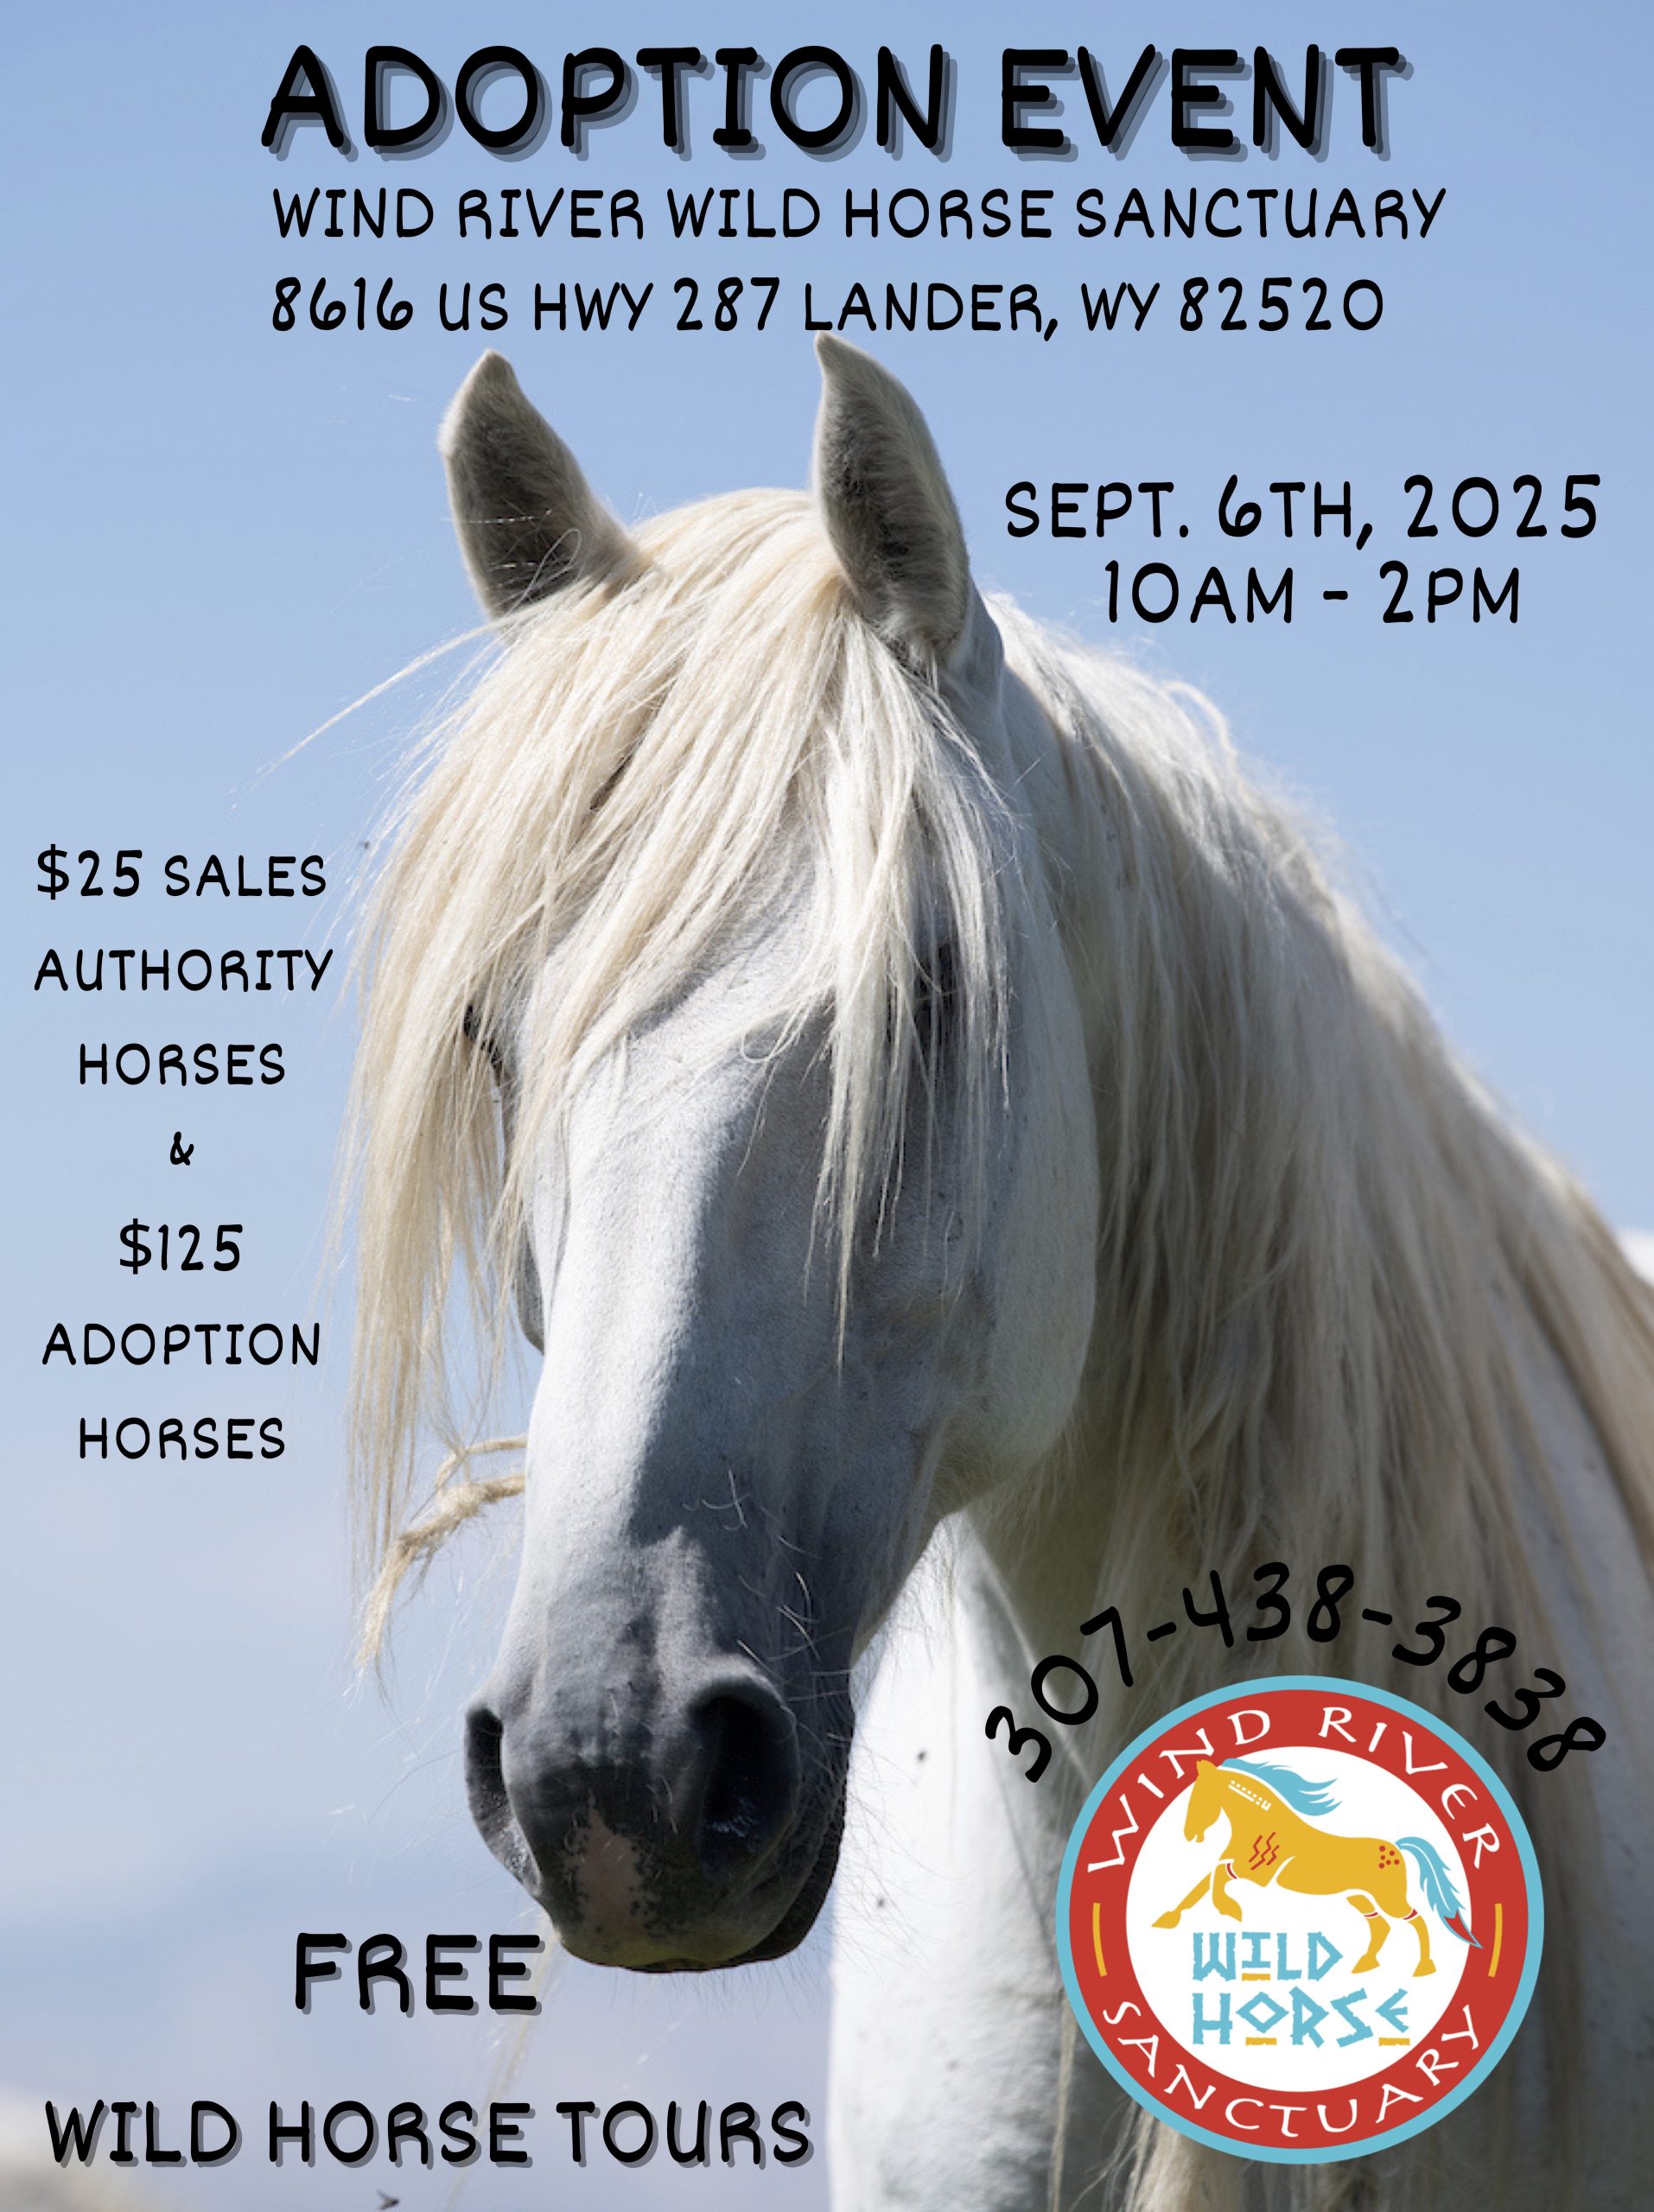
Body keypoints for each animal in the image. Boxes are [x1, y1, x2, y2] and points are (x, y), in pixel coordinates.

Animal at [1152, 1758, 1478, 1977]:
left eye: (1200, 1797)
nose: (1189, 1835)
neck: (1259, 1823)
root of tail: (1397, 1847)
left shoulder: (1254, 1873)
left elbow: (1215, 1878)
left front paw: (1229, 1909)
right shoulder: (1236, 1866)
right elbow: (1202, 1882)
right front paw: (1167, 1919)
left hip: (1390, 1897)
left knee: (1416, 1919)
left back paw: (1423, 1967)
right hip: (1358, 1897)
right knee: (1380, 1925)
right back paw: (1365, 1964)